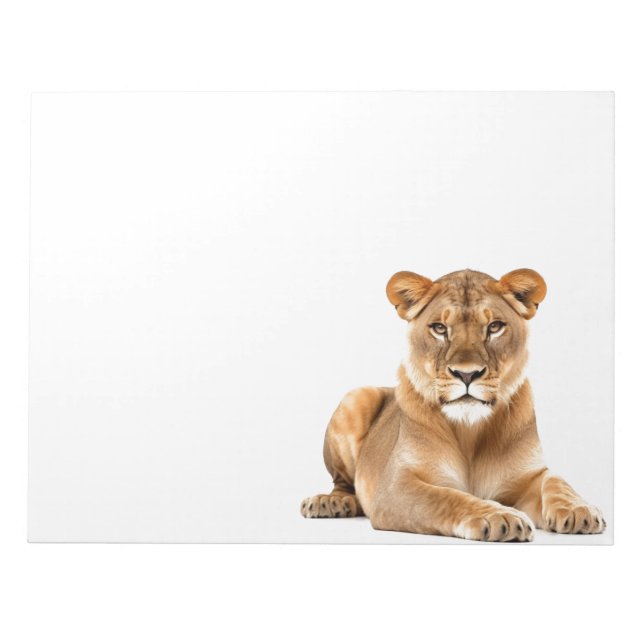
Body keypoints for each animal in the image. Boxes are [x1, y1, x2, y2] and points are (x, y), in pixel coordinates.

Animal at [301, 268, 605, 541]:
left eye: (494, 327)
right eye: (439, 328)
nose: (467, 374)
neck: (470, 430)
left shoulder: (529, 476)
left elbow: (556, 481)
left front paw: (579, 510)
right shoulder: (395, 488)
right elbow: (446, 497)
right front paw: (499, 516)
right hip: (356, 396)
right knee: (342, 483)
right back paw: (330, 503)